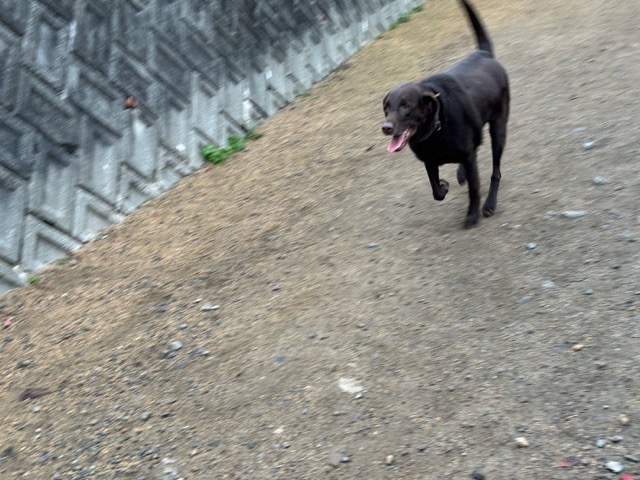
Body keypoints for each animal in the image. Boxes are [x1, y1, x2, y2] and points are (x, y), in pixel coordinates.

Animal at [382, 0, 509, 229]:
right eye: (387, 107)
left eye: (406, 106)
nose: (386, 128)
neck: (435, 131)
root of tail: (483, 54)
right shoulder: (429, 161)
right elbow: (436, 192)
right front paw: (444, 185)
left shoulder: (467, 157)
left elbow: (474, 190)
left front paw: (471, 216)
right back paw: (461, 174)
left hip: (499, 128)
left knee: (496, 170)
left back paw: (489, 203)